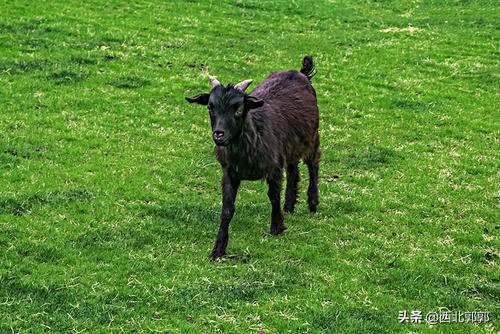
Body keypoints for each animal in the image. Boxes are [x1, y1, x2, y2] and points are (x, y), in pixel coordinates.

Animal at [185, 55, 320, 258]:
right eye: (210, 107)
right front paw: (218, 249)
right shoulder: (230, 173)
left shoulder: (273, 167)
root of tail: (300, 72)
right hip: (290, 146)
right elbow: (227, 209)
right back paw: (289, 205)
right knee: (293, 169)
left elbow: (273, 197)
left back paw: (312, 202)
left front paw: (277, 227)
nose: (219, 135)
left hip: (311, 137)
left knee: (313, 165)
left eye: (238, 109)